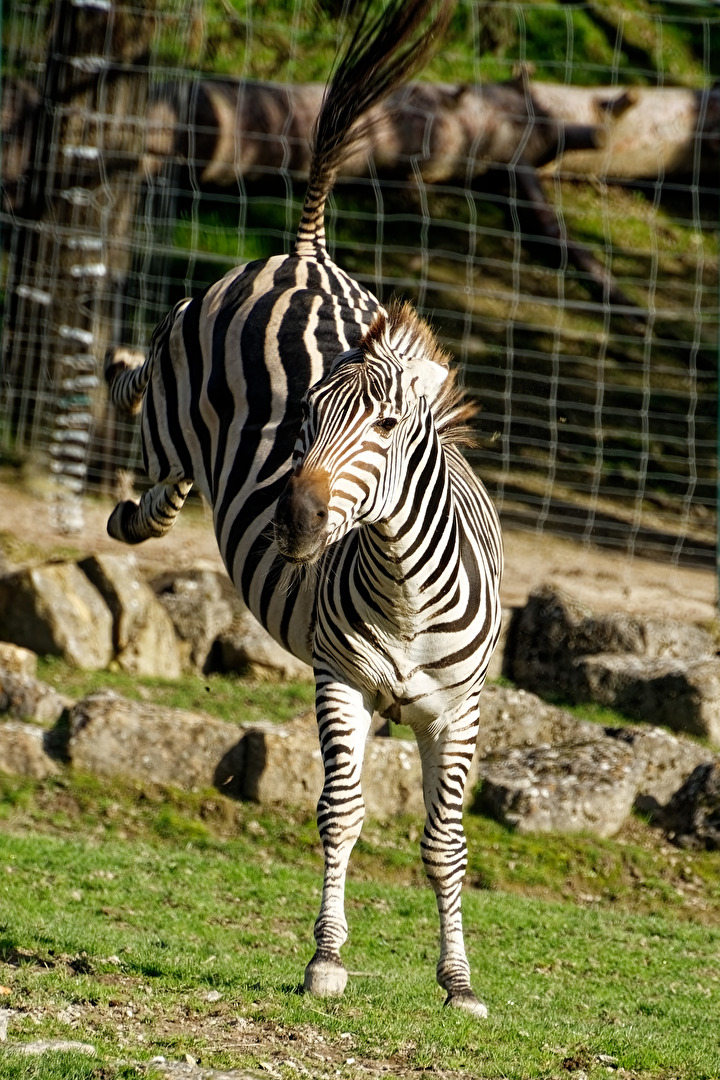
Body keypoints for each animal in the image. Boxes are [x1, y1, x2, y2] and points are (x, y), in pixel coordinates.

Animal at [105, 0, 503, 1018]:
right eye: (307, 419)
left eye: (391, 426)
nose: (293, 525)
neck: (405, 591)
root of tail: (307, 254)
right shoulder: (341, 680)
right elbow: (342, 812)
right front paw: (327, 958)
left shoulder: (457, 710)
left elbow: (445, 843)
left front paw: (458, 981)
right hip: (178, 389)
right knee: (150, 385)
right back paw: (127, 460)